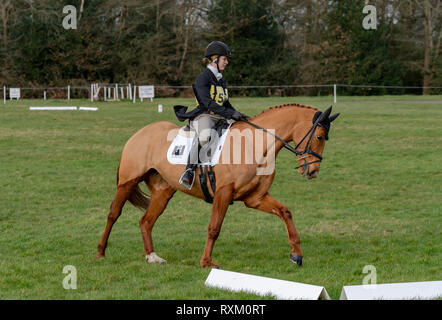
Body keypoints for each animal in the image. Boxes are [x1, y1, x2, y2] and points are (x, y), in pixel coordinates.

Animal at [96, 103, 338, 268]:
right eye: (319, 136)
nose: (312, 172)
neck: (254, 144)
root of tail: (140, 133)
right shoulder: (223, 192)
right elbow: (214, 228)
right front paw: (207, 262)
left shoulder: (255, 198)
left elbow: (285, 213)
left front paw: (296, 254)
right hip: (128, 182)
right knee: (114, 213)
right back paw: (100, 252)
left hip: (163, 192)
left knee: (146, 221)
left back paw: (152, 257)